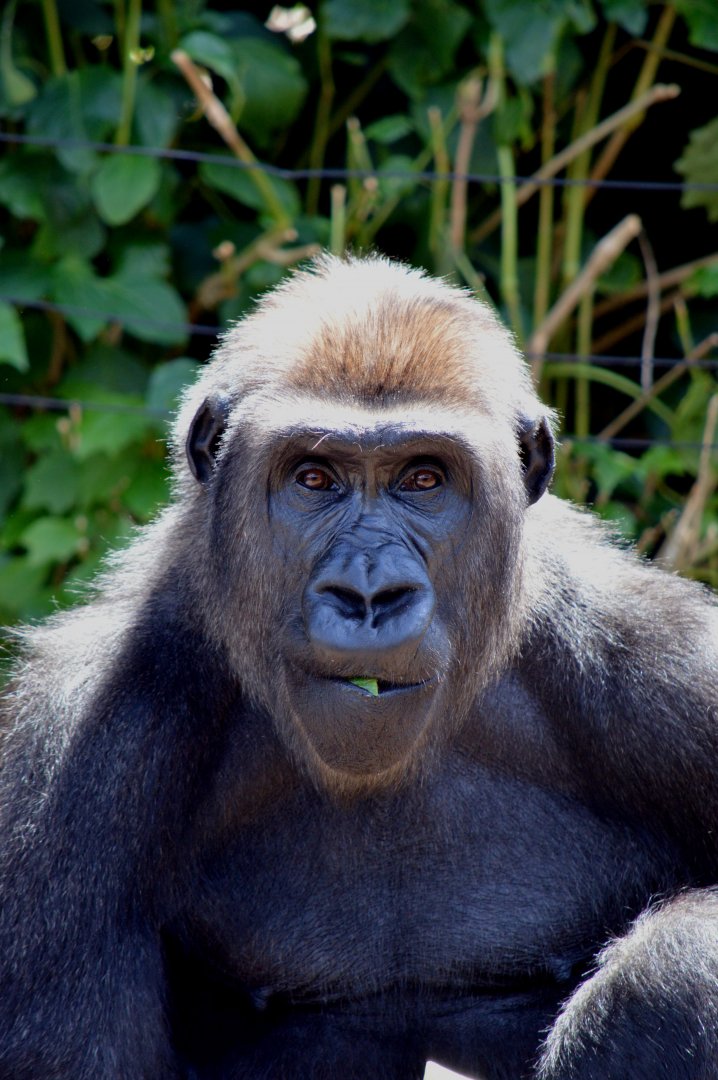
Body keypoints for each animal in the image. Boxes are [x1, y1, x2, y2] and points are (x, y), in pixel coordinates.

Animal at [1, 254, 717, 1080]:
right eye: (314, 479)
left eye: (424, 480)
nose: (369, 595)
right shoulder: (70, 757)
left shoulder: (663, 665)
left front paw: (653, 995)